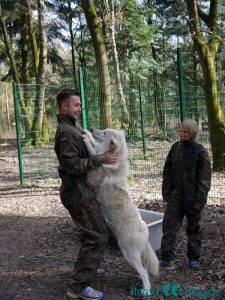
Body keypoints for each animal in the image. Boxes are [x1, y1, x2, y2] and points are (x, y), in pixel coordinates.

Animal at [82, 128, 158, 290]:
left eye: (105, 133)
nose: (92, 129)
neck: (115, 158)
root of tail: (144, 229)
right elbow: (95, 147)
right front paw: (87, 134)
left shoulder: (92, 173)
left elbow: (93, 152)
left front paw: (86, 139)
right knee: (143, 270)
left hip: (127, 253)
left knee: (144, 272)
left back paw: (146, 290)